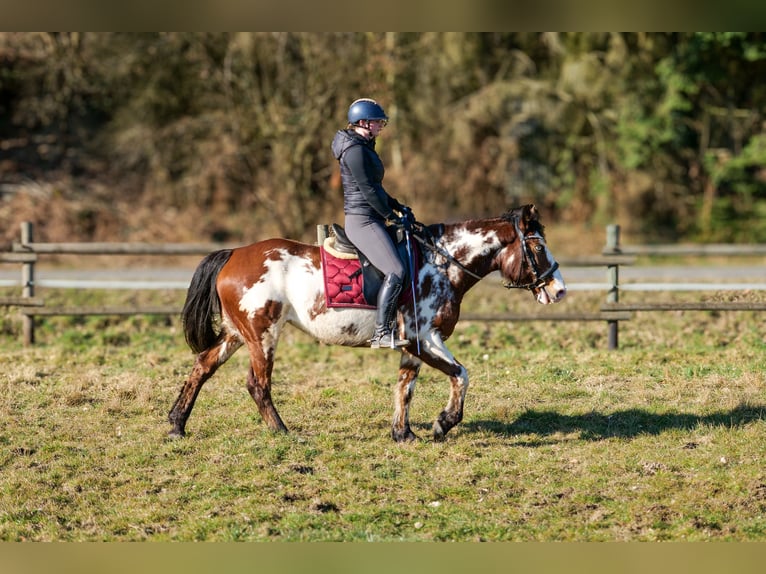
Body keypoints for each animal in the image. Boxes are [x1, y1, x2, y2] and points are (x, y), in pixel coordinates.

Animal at [172, 205, 568, 444]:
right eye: (538, 247)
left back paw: (176, 424)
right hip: (262, 335)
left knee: (202, 366)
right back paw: (283, 432)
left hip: (236, 334)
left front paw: (403, 434)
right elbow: (461, 374)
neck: (439, 264)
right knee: (257, 384)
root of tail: (234, 254)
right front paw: (444, 422)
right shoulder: (426, 338)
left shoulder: (412, 345)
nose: (559, 289)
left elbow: (405, 387)